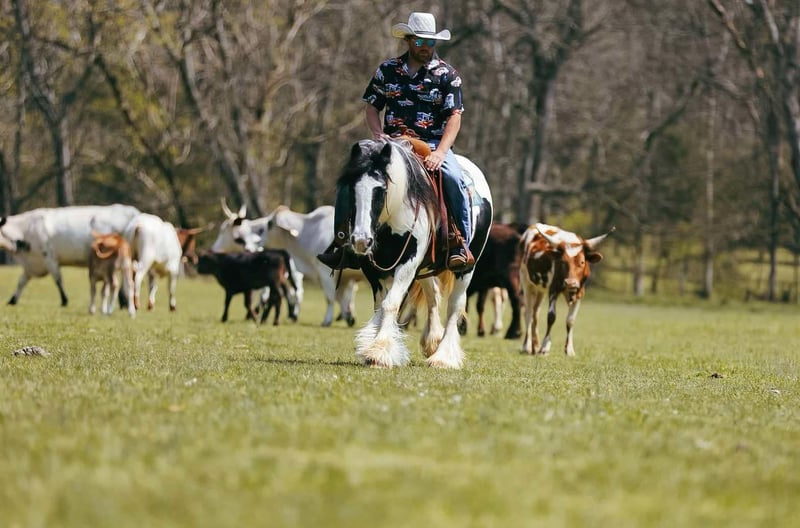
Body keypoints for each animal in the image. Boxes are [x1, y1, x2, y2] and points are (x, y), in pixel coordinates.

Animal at [0, 204, 141, 306]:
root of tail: (132, 211)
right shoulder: (32, 264)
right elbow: (21, 282)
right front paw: (12, 300)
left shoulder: (49, 258)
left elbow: (58, 280)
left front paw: (64, 300)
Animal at [212, 200, 361, 327]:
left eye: (268, 225)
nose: (254, 243)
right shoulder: (344, 277)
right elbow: (341, 297)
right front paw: (349, 317)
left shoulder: (325, 272)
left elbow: (330, 297)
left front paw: (327, 320)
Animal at [338, 138, 493, 368]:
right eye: (352, 188)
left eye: (381, 189)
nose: (361, 240)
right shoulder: (372, 268)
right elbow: (381, 305)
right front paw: (372, 345)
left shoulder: (408, 262)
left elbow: (391, 303)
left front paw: (379, 351)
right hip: (425, 268)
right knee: (434, 296)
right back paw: (432, 341)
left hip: (466, 267)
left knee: (454, 306)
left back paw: (442, 357)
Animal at [519, 222, 614, 356]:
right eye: (563, 262)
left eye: (582, 262)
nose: (570, 282)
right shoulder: (553, 290)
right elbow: (551, 317)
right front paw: (545, 347)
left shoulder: (579, 293)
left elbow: (570, 320)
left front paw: (569, 349)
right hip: (526, 283)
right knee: (528, 313)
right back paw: (526, 347)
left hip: (540, 289)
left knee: (535, 313)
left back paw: (535, 346)